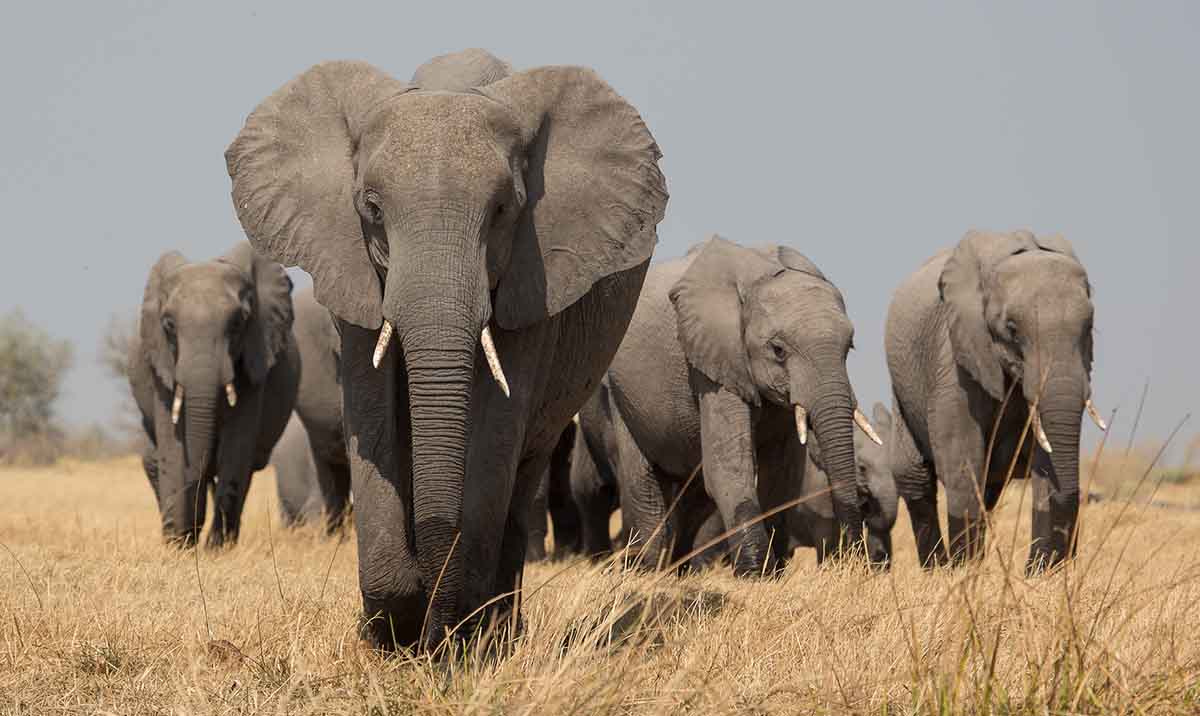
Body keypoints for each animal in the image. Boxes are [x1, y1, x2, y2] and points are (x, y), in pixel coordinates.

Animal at [129, 242, 299, 547]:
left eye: (238, 324)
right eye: (168, 325)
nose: (189, 535)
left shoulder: (254, 362)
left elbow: (236, 447)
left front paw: (216, 549)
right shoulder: (161, 366)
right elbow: (173, 446)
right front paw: (179, 545)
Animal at [225, 48, 668, 651]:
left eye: (503, 210)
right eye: (372, 208)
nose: (433, 631)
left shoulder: (534, 280)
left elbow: (495, 429)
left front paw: (454, 640)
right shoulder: (354, 268)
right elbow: (373, 419)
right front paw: (391, 633)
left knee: (524, 467)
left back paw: (500, 631)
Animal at [596, 235, 882, 577]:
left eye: (848, 348)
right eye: (778, 350)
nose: (858, 561)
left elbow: (782, 476)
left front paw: (774, 573)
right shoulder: (715, 360)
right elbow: (729, 467)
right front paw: (755, 574)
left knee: (694, 498)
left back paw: (679, 572)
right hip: (619, 393)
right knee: (643, 483)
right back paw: (643, 571)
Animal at [884, 230, 1105, 573]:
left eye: (1089, 327)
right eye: (1012, 329)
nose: (1063, 558)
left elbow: (1046, 463)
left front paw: (1039, 574)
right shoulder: (956, 355)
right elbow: (961, 458)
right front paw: (963, 573)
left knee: (988, 488)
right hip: (902, 388)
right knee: (914, 476)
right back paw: (938, 568)